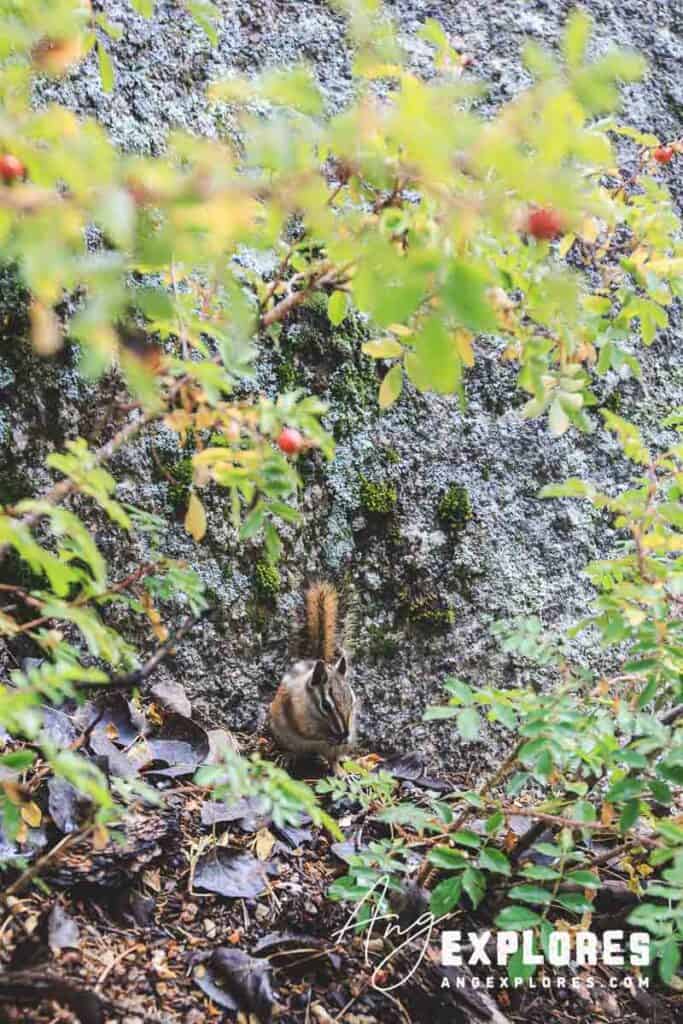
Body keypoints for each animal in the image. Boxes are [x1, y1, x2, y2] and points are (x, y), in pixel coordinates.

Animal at [269, 582, 358, 769]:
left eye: (352, 701)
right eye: (326, 705)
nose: (345, 734)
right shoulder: (298, 713)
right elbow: (308, 731)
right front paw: (328, 736)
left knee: (333, 760)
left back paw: (341, 769)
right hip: (282, 734)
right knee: (296, 751)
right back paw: (286, 756)